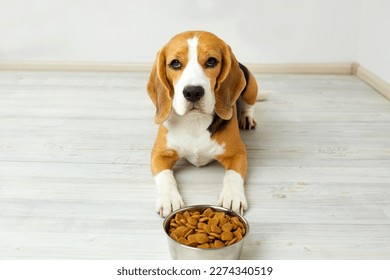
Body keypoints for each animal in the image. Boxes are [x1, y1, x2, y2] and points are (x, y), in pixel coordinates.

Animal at [146, 31, 258, 218]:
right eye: (175, 63)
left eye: (211, 61)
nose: (193, 92)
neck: (194, 121)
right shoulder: (159, 153)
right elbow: (165, 176)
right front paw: (169, 198)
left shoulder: (238, 153)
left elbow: (233, 175)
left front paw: (232, 196)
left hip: (251, 87)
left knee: (249, 105)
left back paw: (247, 118)